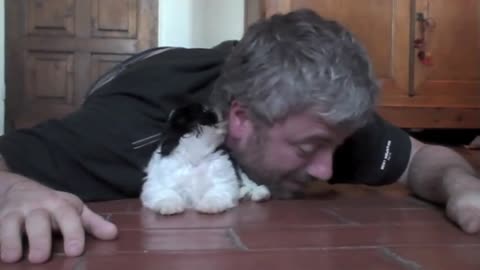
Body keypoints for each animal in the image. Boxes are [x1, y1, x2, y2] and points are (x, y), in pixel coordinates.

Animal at [142, 103, 270, 215]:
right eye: (208, 114)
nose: (218, 110)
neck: (194, 152)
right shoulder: (159, 182)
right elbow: (165, 192)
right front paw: (169, 205)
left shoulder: (222, 177)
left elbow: (216, 192)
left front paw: (210, 205)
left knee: (247, 181)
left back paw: (259, 192)